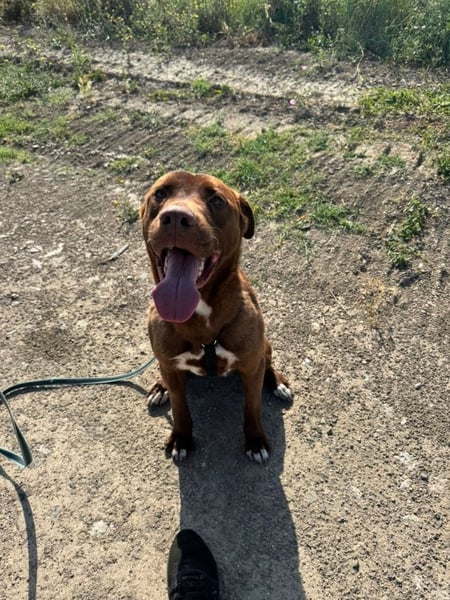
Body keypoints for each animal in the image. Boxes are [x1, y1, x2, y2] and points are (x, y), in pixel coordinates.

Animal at [141, 171, 292, 463]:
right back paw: (160, 387)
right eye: (160, 193)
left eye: (217, 200)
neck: (199, 321)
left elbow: (252, 407)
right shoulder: (170, 364)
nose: (175, 217)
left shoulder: (251, 365)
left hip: (264, 347)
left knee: (267, 363)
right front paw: (181, 437)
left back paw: (278, 382)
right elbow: (180, 407)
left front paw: (255, 440)